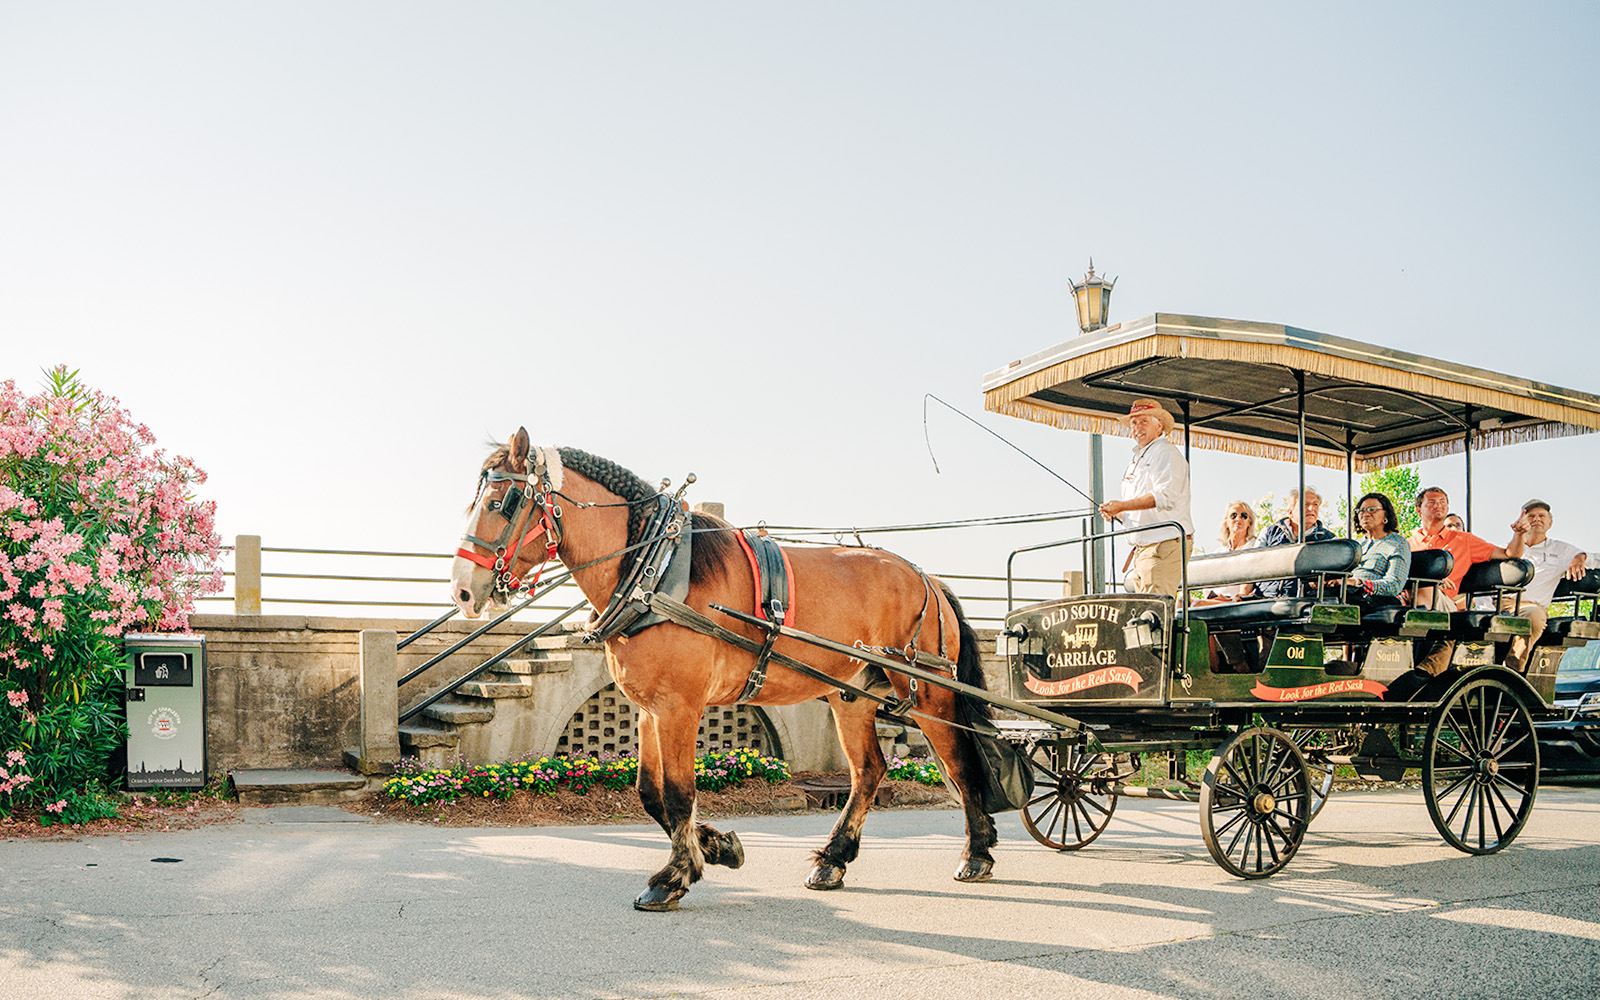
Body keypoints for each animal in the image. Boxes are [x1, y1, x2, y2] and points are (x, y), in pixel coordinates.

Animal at [450, 428, 1002, 911]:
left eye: (501, 503)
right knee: (869, 770)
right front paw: (717, 848)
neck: (655, 570)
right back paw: (833, 859)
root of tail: (928, 578)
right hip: (851, 695)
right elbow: (650, 794)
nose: (462, 591)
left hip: (929, 692)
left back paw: (975, 853)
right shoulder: (649, 708)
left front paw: (672, 878)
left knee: (959, 763)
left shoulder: (680, 706)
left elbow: (677, 794)